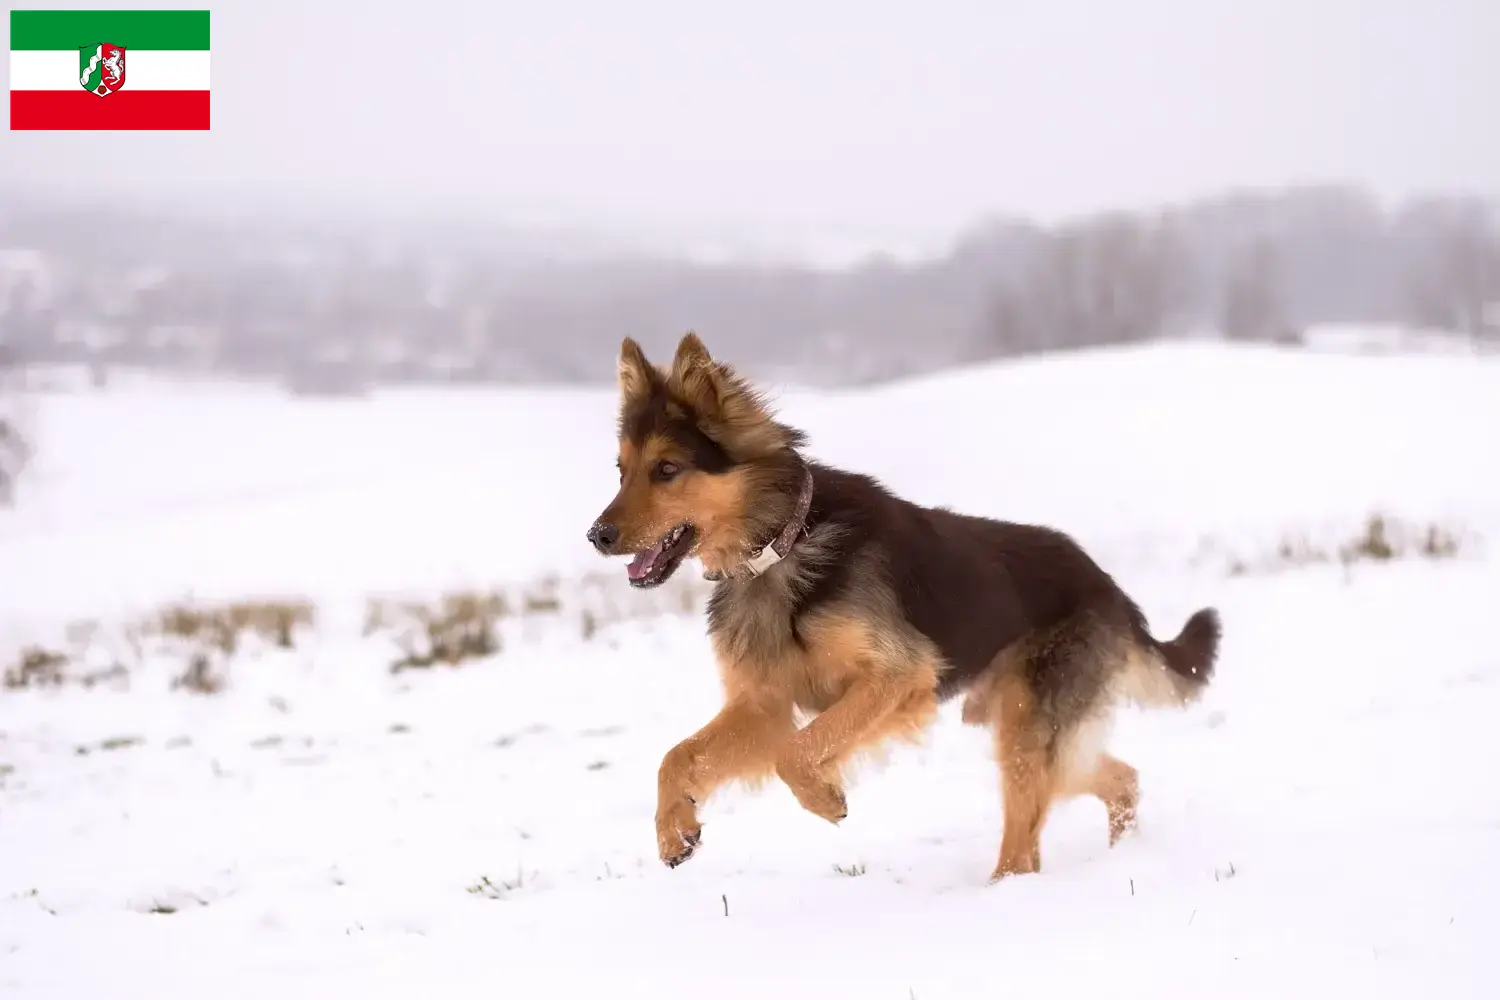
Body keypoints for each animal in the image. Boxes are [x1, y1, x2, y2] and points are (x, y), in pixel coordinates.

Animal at [585, 332, 1218, 881]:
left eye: (667, 469)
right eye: (620, 471)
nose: (597, 536)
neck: (782, 545)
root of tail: (1106, 583)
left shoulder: (896, 677)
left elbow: (796, 752)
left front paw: (824, 797)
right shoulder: (763, 706)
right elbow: (677, 757)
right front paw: (674, 831)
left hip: (1026, 728)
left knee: (1029, 836)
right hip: (1020, 722)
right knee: (1117, 778)